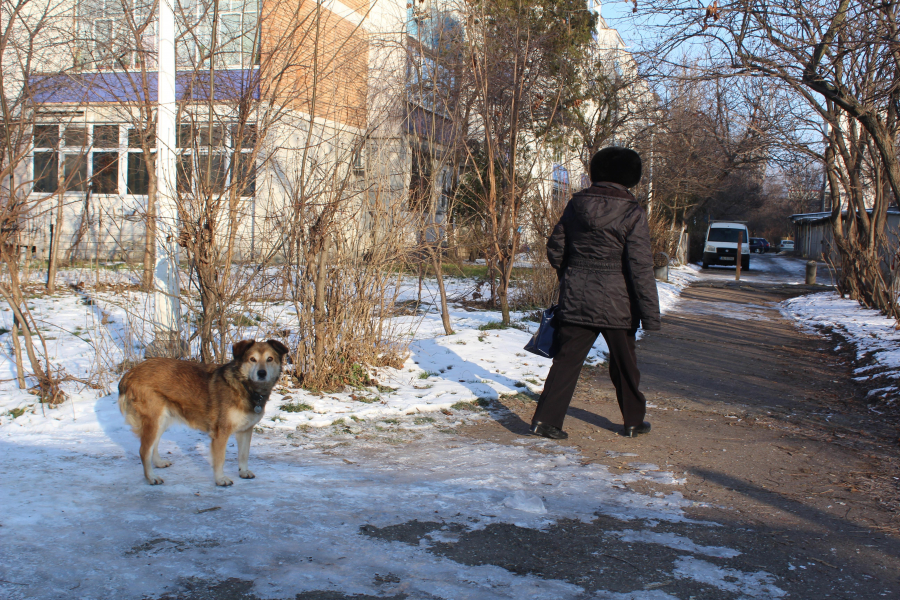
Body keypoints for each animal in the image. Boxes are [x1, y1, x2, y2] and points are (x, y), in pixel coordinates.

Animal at [118, 340, 288, 486]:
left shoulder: (246, 430)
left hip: (162, 419)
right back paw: (151, 477)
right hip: (153, 420)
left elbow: (244, 454)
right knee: (143, 450)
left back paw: (158, 463)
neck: (244, 386)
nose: (261, 373)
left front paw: (244, 471)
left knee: (154, 444)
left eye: (270, 359)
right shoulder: (221, 432)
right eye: (252, 359)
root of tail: (130, 372)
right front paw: (220, 479)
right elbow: (220, 459)